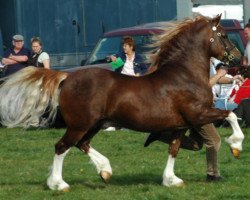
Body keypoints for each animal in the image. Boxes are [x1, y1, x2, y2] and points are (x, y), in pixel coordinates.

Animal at [0, 14, 244, 190]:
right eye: (224, 35)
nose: (240, 60)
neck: (184, 75)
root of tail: (67, 77)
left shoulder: (180, 125)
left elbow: (173, 149)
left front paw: (171, 180)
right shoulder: (199, 114)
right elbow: (231, 115)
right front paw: (236, 145)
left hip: (94, 124)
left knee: (81, 144)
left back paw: (105, 170)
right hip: (80, 124)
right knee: (62, 146)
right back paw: (59, 184)